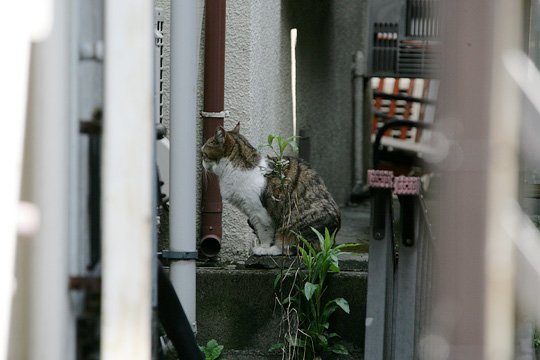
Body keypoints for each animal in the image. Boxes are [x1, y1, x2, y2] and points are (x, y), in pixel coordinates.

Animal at [200, 124, 340, 256]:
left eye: (203, 153)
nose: (201, 162)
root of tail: (331, 240)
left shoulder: (259, 213)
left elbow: (264, 233)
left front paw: (263, 248)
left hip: (293, 225)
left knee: (295, 247)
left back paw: (272, 249)